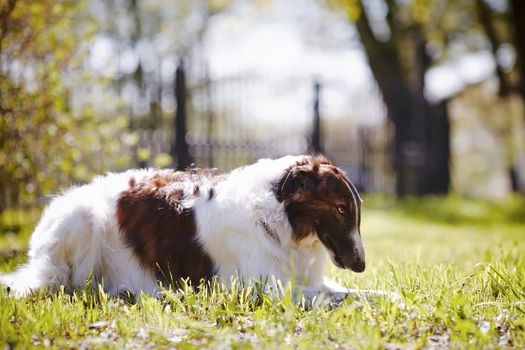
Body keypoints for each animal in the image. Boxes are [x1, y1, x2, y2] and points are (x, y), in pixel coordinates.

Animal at [0, 154, 366, 300]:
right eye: (341, 208)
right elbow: (346, 297)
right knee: (64, 286)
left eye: (352, 209)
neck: (275, 215)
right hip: (81, 219)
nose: (362, 265)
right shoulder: (268, 289)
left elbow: (360, 293)